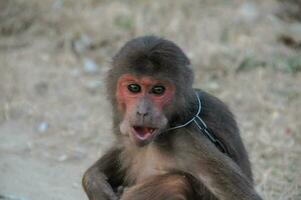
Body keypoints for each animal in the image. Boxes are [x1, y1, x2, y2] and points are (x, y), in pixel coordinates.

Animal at [81, 36, 260, 200]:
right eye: (134, 88)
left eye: (158, 90)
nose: (142, 112)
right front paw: (93, 180)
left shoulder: (188, 141)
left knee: (175, 183)